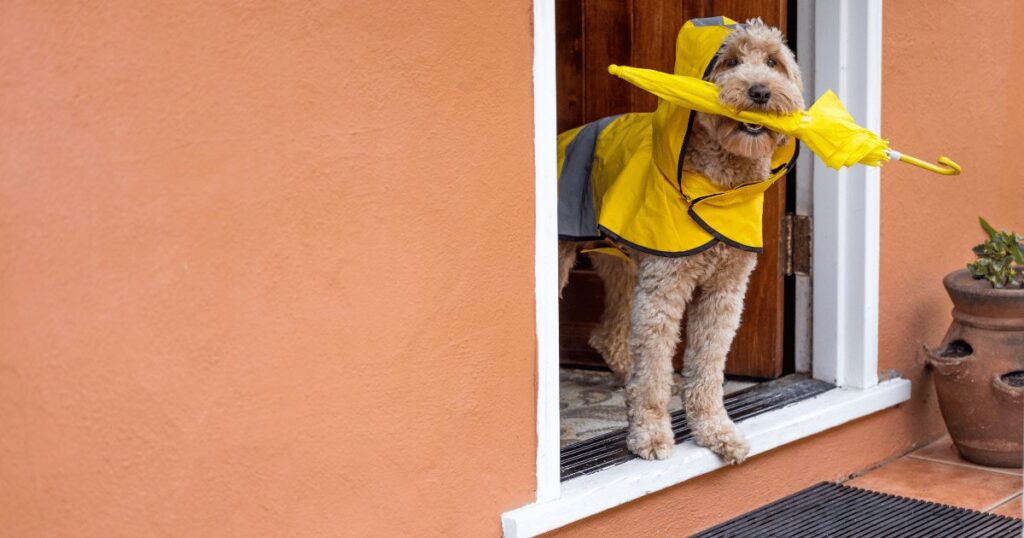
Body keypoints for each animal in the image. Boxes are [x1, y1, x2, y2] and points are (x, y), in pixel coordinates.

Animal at [557, 16, 802, 461]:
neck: (719, 185)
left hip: (622, 265)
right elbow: (653, 365)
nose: (760, 91)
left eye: (773, 62)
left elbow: (707, 365)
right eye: (729, 61)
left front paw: (715, 429)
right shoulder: (664, 289)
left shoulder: (725, 291)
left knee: (609, 336)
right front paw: (650, 432)